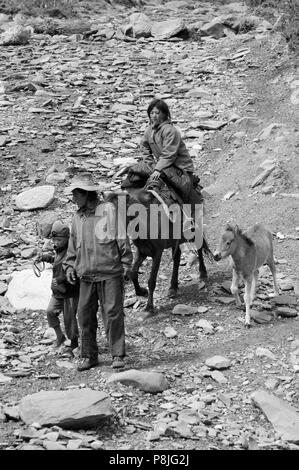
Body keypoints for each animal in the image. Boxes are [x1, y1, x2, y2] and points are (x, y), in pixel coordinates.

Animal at [110, 171, 211, 318]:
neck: (145, 222)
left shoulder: (157, 253)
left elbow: (151, 280)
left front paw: (149, 307)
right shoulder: (142, 251)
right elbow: (133, 273)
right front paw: (141, 291)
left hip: (195, 228)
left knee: (199, 248)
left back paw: (202, 273)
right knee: (177, 257)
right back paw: (173, 287)